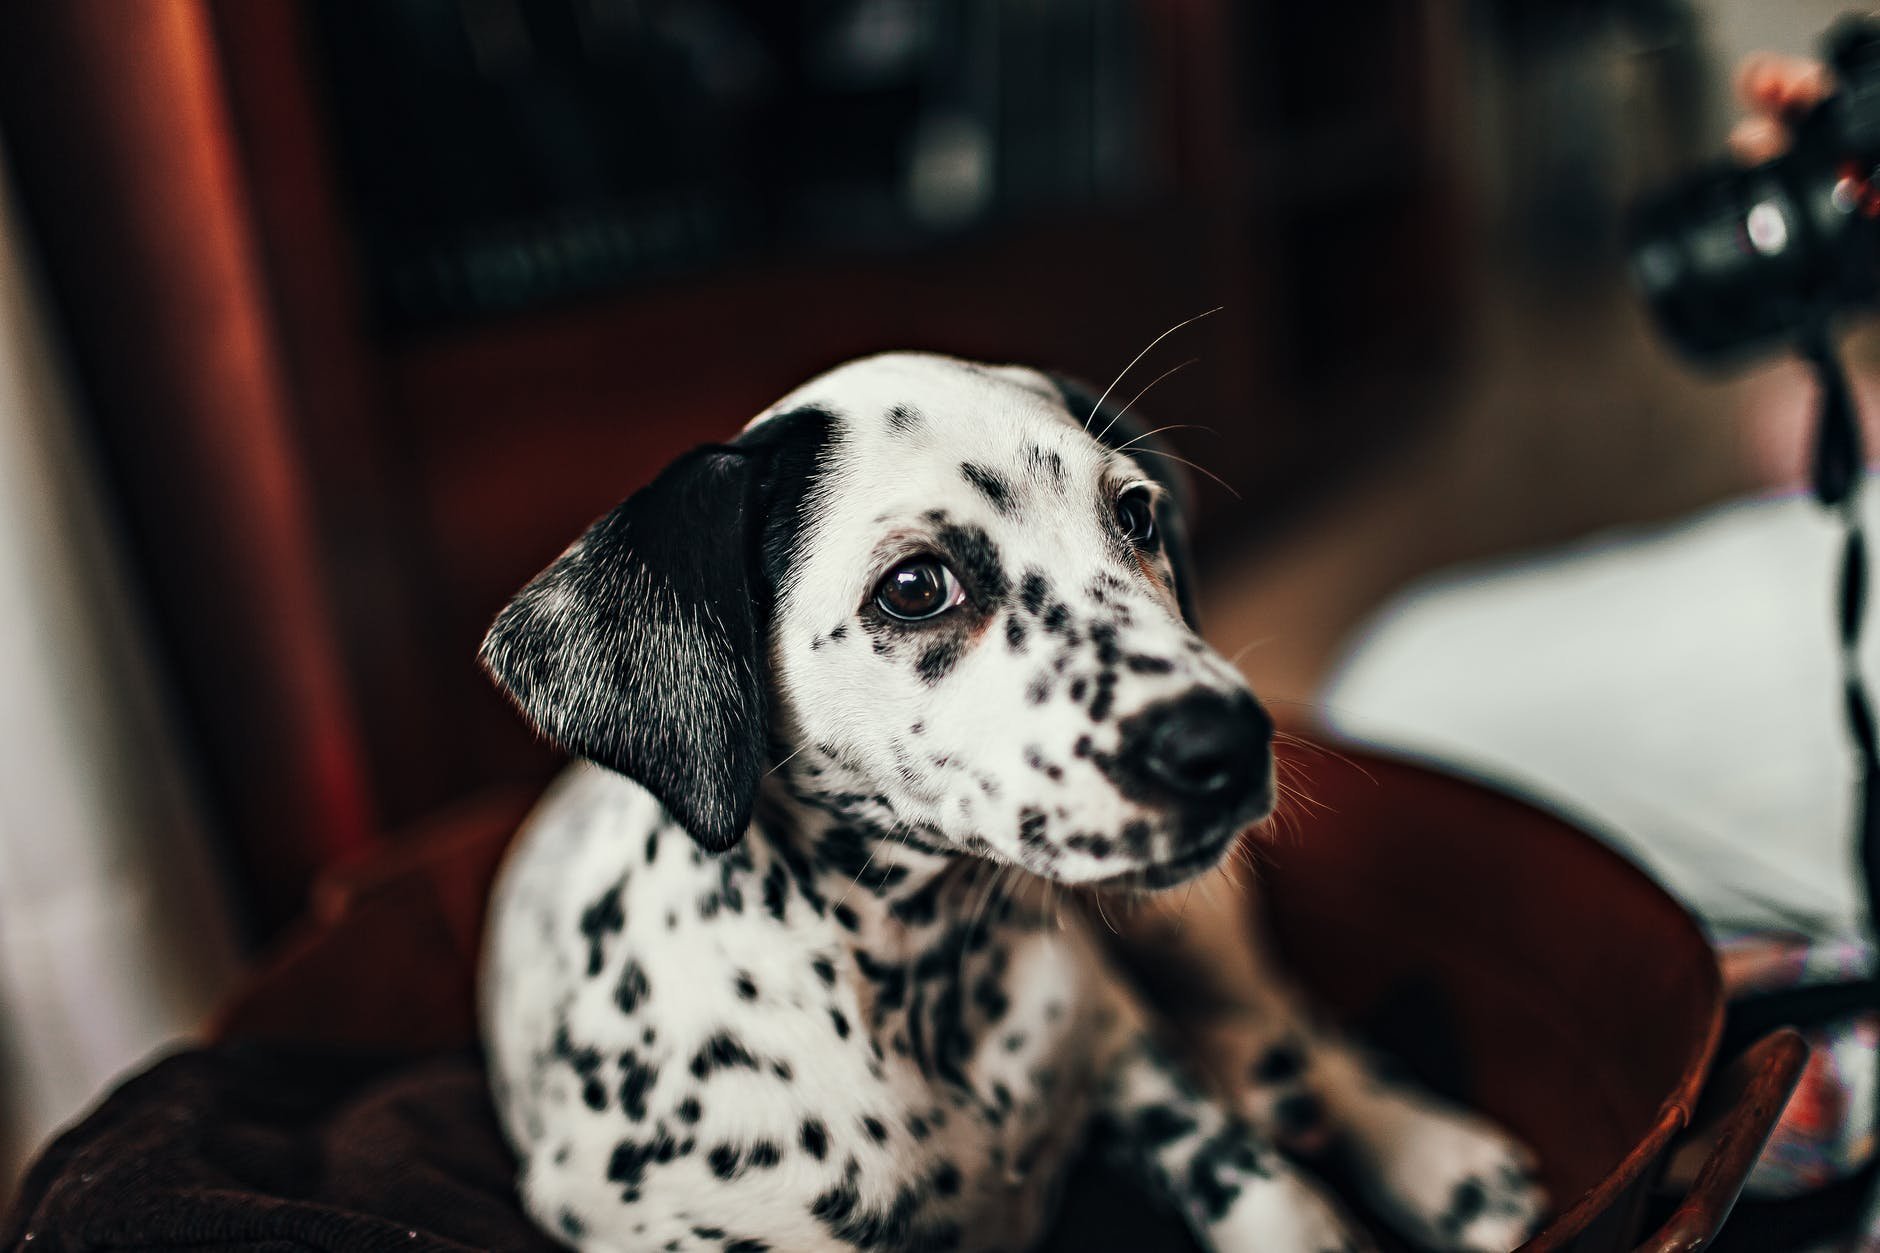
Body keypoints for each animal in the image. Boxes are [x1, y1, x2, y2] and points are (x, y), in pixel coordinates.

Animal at [481, 351, 1541, 1249]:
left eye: (1137, 515)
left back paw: (1436, 1156)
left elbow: (1262, 1184)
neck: (926, 988)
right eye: (915, 586)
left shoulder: (1132, 1058)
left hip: (1185, 919)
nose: (1231, 742)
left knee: (1291, 1019)